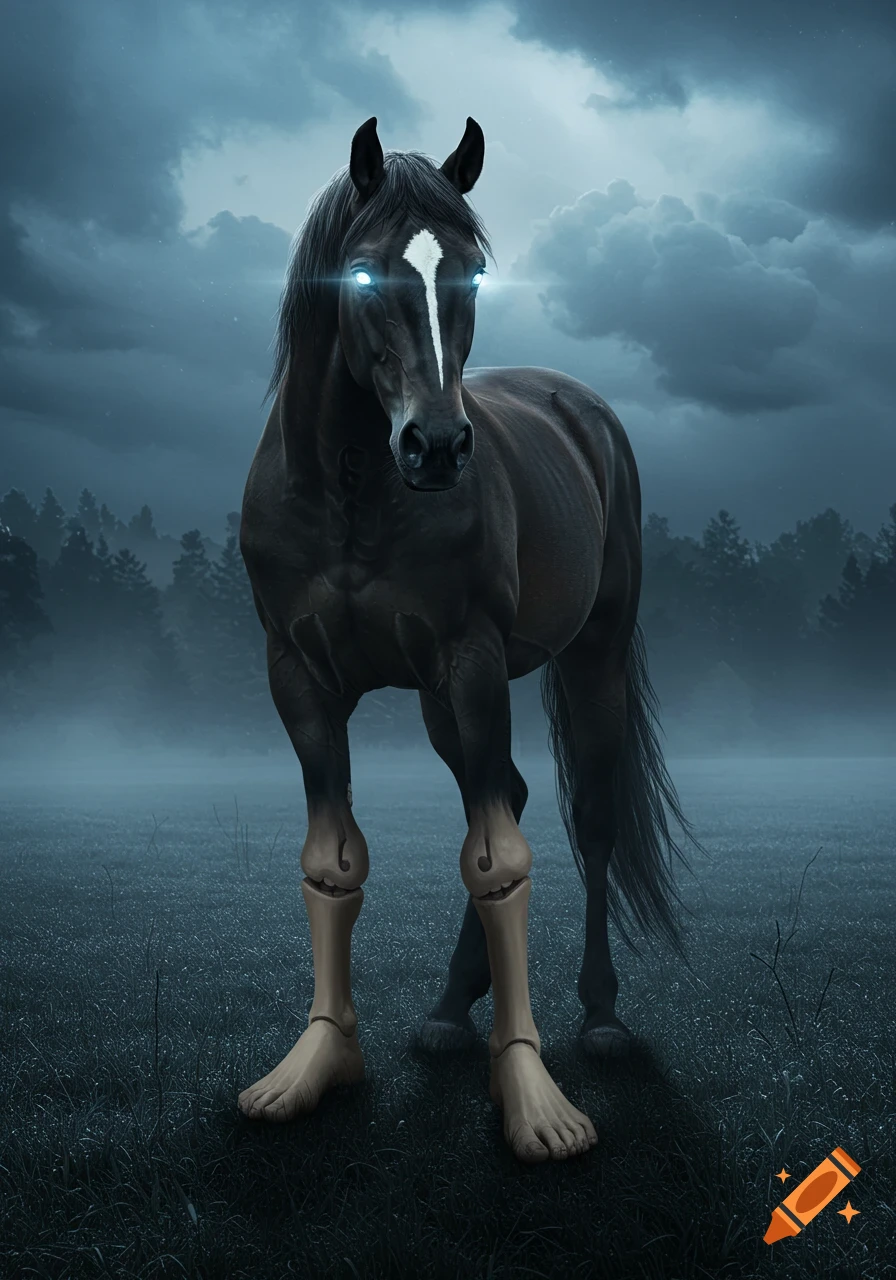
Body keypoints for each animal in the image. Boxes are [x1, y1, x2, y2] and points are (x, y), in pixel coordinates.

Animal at [238, 116, 697, 1163]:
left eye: (475, 272)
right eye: (364, 274)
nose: (440, 448)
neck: (354, 491)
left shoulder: (474, 661)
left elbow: (501, 865)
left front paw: (532, 1098)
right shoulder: (300, 679)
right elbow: (335, 862)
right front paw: (314, 1064)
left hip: (585, 658)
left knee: (589, 818)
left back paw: (600, 1019)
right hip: (441, 703)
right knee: (513, 794)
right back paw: (450, 1010)